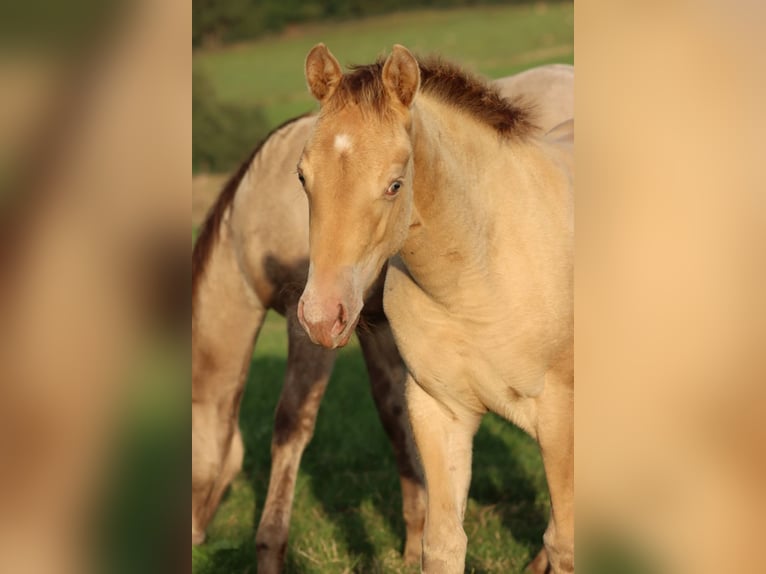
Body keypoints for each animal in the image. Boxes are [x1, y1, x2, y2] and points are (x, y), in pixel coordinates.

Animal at [192, 61, 572, 572]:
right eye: (302, 179)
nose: (194, 540)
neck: (252, 216)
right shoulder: (366, 324)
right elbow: (393, 415)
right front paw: (412, 538)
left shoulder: (304, 319)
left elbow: (292, 423)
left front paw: (270, 548)